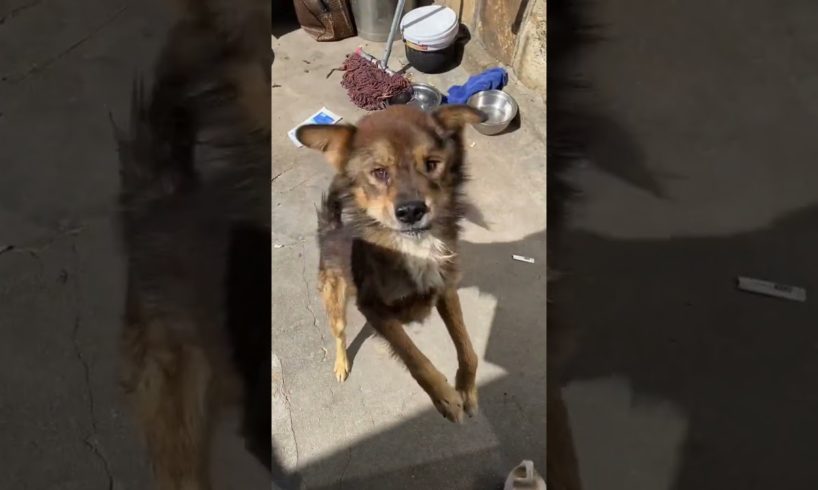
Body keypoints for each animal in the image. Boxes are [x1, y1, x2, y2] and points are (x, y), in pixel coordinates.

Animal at [294, 105, 482, 424]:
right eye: (379, 172)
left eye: (432, 164)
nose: (411, 211)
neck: (415, 246)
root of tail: (331, 230)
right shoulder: (372, 307)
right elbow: (413, 356)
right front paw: (444, 397)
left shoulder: (446, 290)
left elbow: (467, 348)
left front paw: (467, 390)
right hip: (336, 304)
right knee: (340, 335)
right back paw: (341, 364)